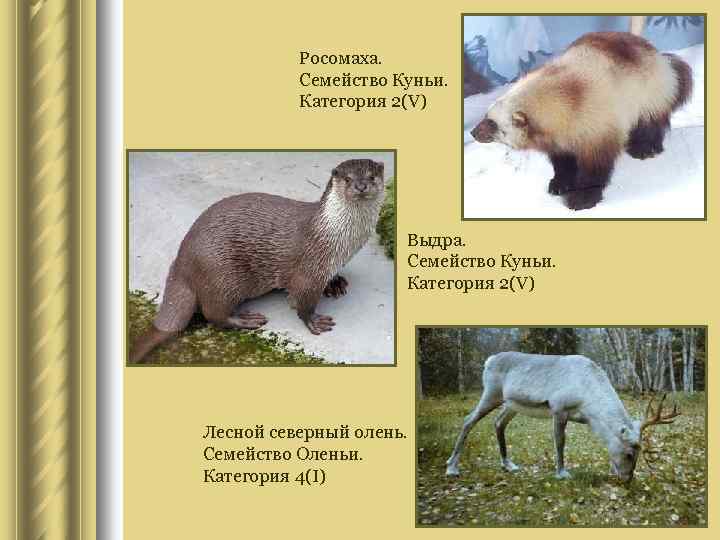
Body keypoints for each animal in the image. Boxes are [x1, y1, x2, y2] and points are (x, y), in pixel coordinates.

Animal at [445, 352, 680, 482]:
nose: (627, 479)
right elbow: (560, 442)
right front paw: (562, 473)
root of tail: (489, 360)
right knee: (468, 420)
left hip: (512, 404)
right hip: (491, 393)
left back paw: (508, 464)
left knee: (498, 423)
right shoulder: (558, 408)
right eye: (630, 454)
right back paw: (452, 467)